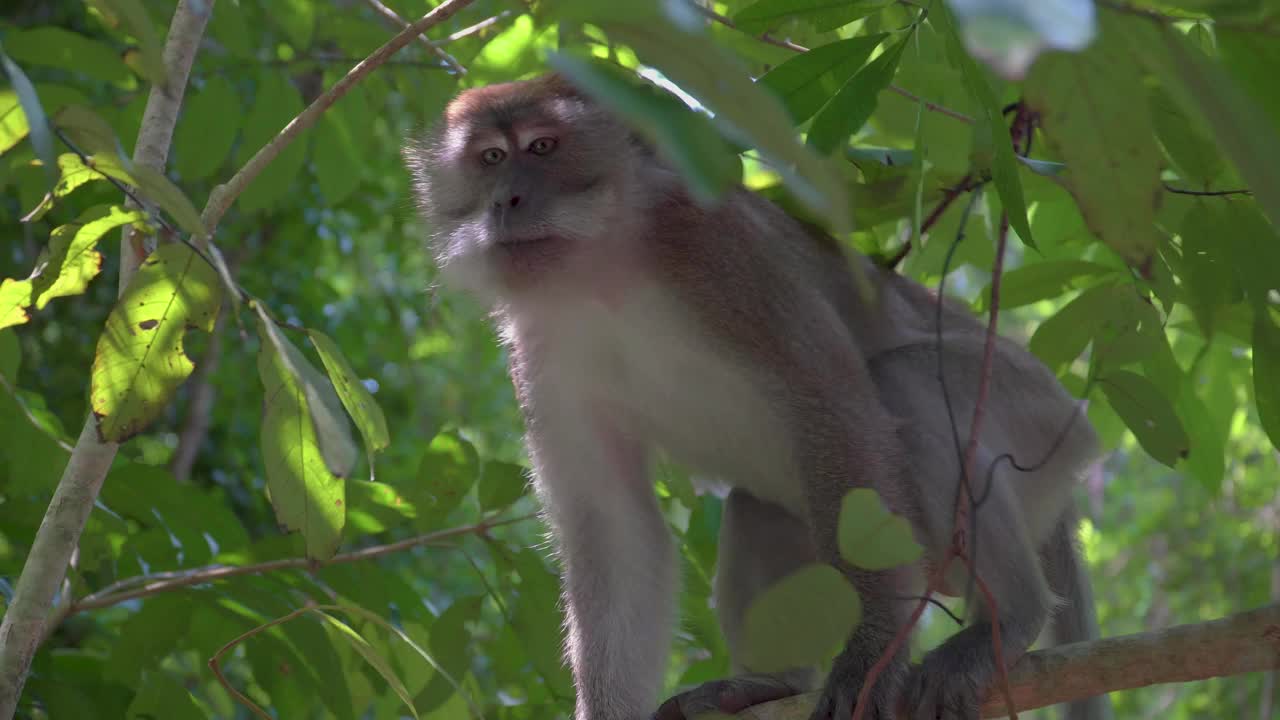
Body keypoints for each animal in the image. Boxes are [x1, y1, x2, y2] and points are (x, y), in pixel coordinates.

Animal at [401, 74, 1111, 717]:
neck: (602, 272)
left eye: (543, 146)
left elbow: (834, 403)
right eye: (491, 159)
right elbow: (612, 522)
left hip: (1041, 419)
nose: (507, 200)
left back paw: (1008, 621)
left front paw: (871, 655)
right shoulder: (540, 350)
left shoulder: (717, 252)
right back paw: (770, 685)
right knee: (757, 507)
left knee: (907, 385)